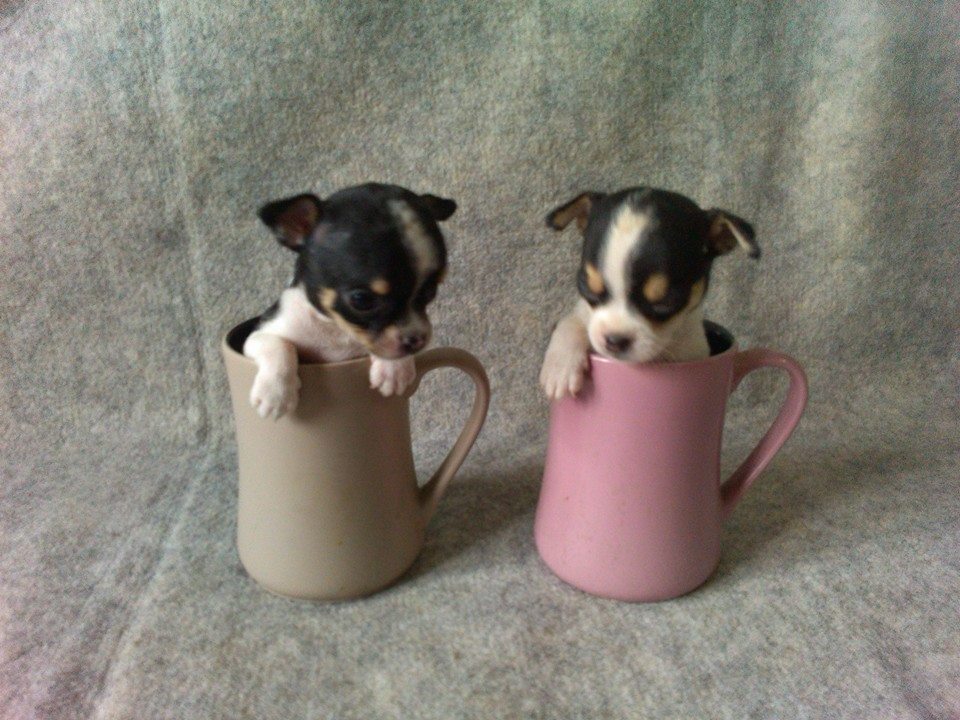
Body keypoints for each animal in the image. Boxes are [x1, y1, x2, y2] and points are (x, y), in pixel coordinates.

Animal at [244, 182, 456, 419]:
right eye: (362, 300)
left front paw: (394, 370)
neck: (336, 330)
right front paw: (276, 394)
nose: (417, 340)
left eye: (430, 291)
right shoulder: (258, 334)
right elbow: (278, 344)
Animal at [539, 187, 759, 400]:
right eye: (587, 288)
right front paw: (560, 368)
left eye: (665, 302)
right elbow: (572, 322)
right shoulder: (584, 315)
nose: (615, 340)